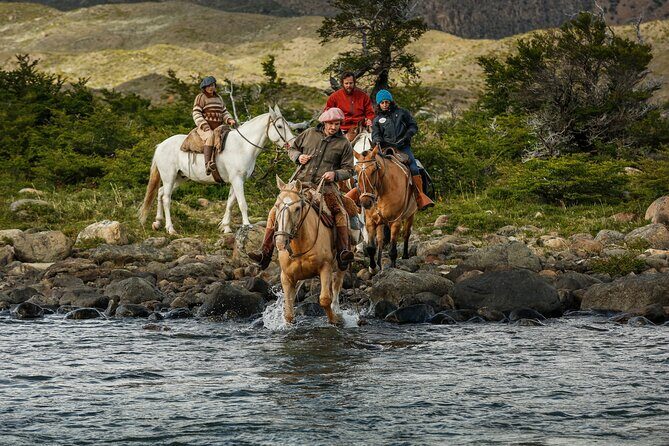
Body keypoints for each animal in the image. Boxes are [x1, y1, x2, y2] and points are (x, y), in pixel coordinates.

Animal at [139, 105, 295, 235]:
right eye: (279, 126)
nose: (293, 144)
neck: (242, 146)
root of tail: (161, 145)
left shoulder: (236, 181)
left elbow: (230, 203)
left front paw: (225, 227)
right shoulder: (237, 180)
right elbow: (242, 203)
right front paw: (247, 225)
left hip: (179, 178)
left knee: (160, 193)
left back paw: (157, 223)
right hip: (169, 177)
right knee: (166, 198)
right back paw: (170, 229)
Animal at [273, 176, 345, 325]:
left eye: (297, 208)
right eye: (276, 206)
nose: (281, 242)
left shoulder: (326, 267)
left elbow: (325, 299)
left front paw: (335, 319)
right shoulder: (286, 277)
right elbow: (288, 313)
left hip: (343, 261)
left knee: (337, 284)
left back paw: (337, 309)